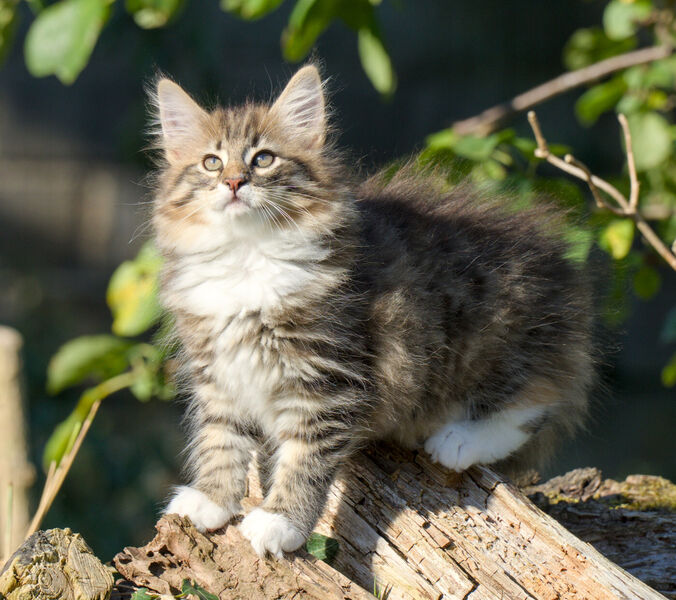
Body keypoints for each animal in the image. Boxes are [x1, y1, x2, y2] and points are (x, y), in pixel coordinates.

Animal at [153, 64, 592, 556]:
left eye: (263, 159)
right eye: (211, 162)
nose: (233, 182)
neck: (248, 256)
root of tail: (560, 269)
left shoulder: (328, 378)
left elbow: (304, 457)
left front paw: (281, 521)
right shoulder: (218, 373)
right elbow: (220, 440)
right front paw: (211, 499)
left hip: (494, 340)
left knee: (538, 399)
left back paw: (458, 440)